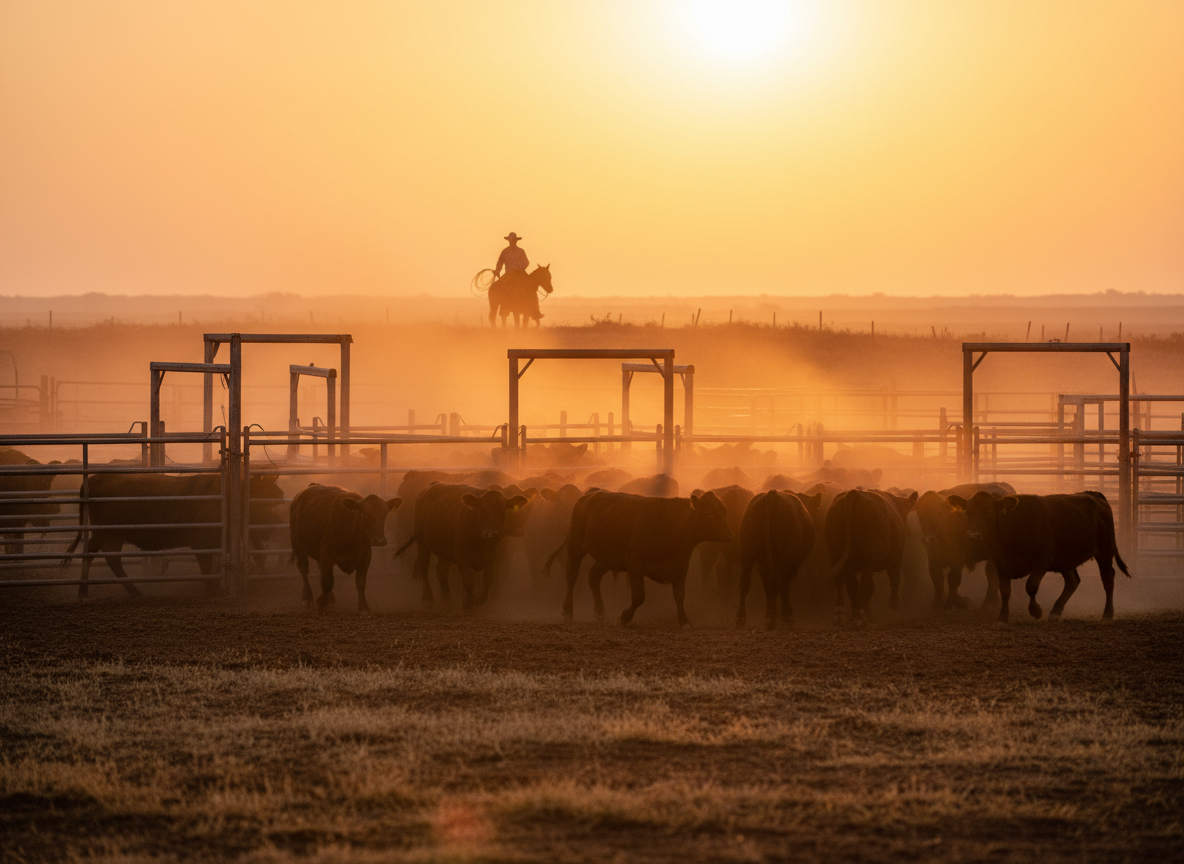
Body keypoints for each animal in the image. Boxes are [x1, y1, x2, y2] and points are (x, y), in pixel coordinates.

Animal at [65, 472, 285, 596]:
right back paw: (134, 591)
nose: (276, 523)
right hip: (111, 533)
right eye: (261, 502)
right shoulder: (201, 543)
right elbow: (206, 565)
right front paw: (211, 587)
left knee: (90, 553)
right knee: (110, 557)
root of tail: (96, 479)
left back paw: (83, 589)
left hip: (104, 534)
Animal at [560, 490, 732, 627]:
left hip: (608, 558)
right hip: (575, 546)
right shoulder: (634, 564)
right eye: (710, 513)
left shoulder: (681, 567)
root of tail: (588, 495)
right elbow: (639, 597)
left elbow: (679, 596)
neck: (673, 524)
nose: (729, 535)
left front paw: (684, 621)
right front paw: (624, 617)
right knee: (572, 576)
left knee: (594, 576)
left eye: (725, 512)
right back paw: (567, 612)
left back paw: (600, 614)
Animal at [735, 491, 822, 629]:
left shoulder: (762, 564)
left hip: (747, 554)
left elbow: (768, 587)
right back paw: (777, 618)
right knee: (778, 583)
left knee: (745, 583)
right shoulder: (790, 565)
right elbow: (783, 588)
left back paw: (741, 618)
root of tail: (772, 494)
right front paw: (785, 615)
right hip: (782, 558)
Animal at [826, 488, 918, 626]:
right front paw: (894, 604)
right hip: (870, 558)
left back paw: (842, 614)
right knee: (863, 582)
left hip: (836, 553)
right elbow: (894, 579)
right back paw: (858, 615)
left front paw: (868, 611)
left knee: (846, 582)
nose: (909, 532)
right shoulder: (895, 559)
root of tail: (854, 493)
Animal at [948, 491, 1130, 623]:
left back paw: (1107, 614)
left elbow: (1031, 586)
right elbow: (1005, 591)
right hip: (1065, 559)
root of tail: (1094, 495)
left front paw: (1035, 610)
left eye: (989, 512)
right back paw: (1055, 611)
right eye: (968, 512)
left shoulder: (1042, 562)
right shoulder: (1001, 564)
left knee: (1108, 579)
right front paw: (1002, 617)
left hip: (1105, 552)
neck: (1013, 525)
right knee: (1072, 581)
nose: (973, 536)